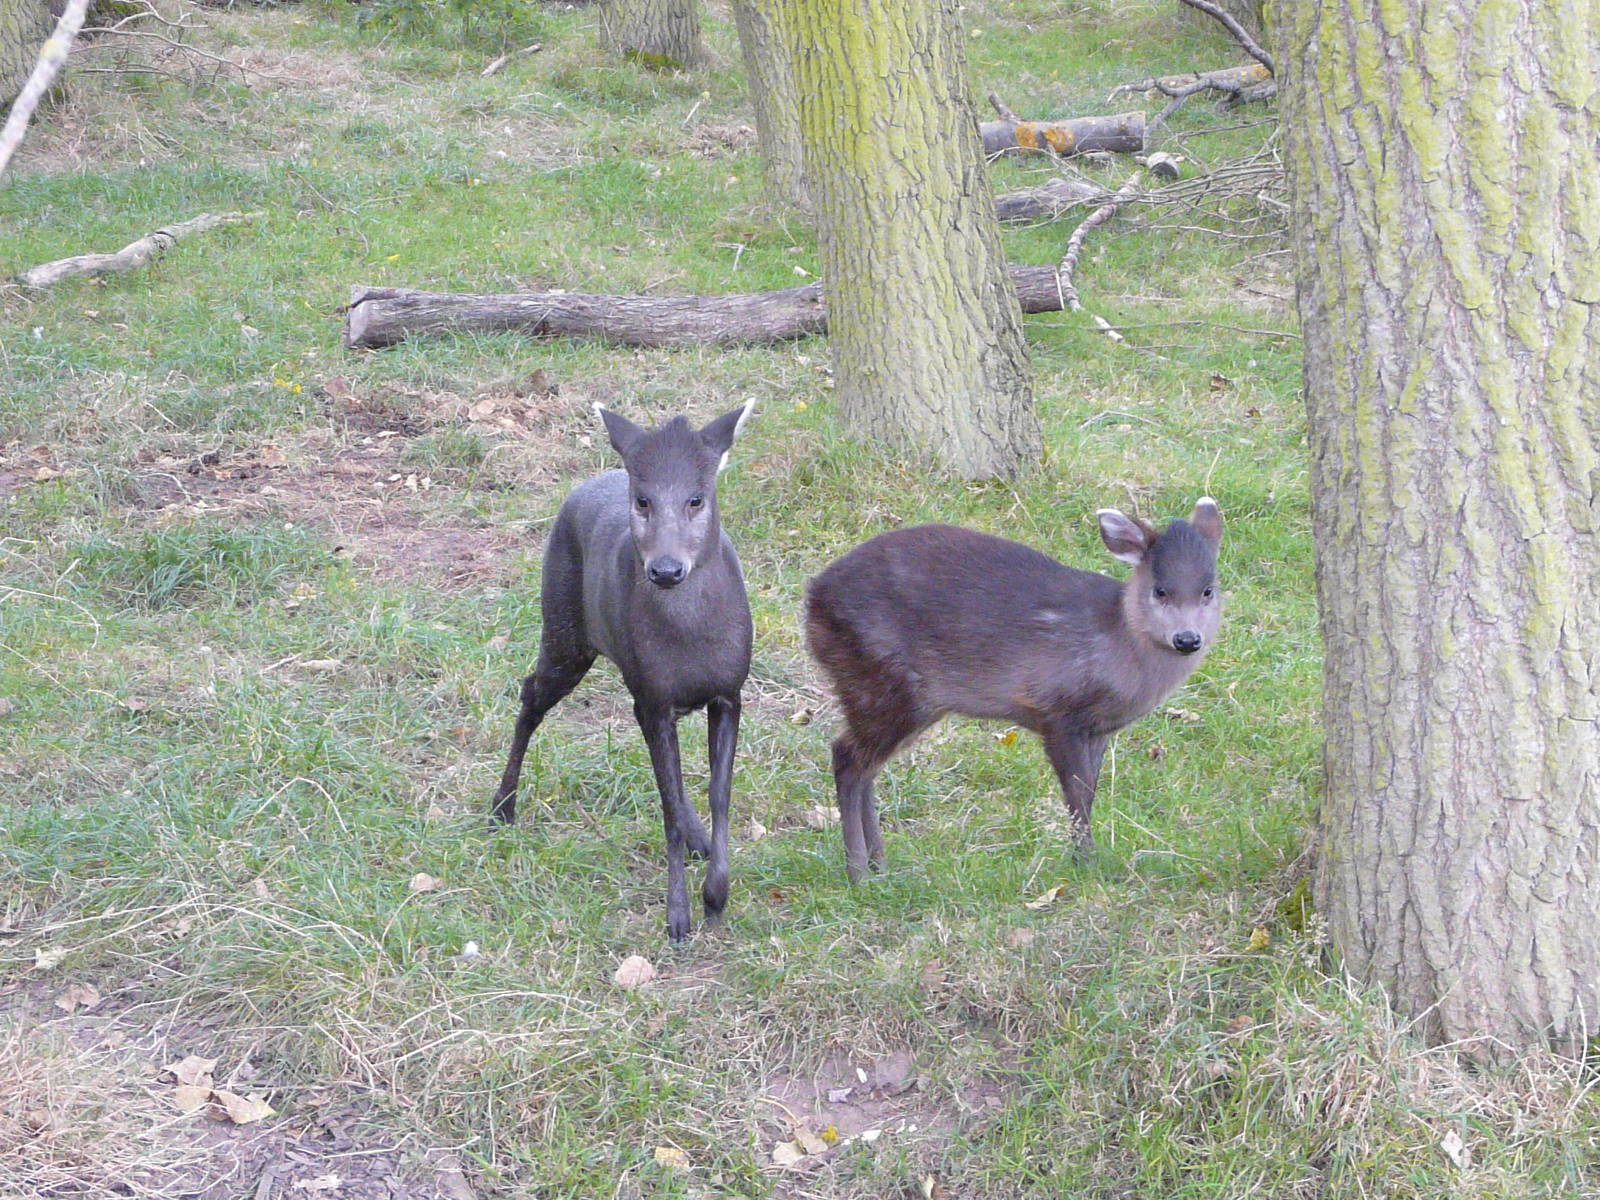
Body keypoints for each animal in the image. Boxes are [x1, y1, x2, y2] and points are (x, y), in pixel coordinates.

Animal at [490, 404, 754, 941]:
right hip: (565, 628)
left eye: (697, 497)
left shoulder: (728, 691)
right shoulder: (654, 695)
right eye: (643, 499)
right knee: (530, 694)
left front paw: (716, 895)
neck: (691, 642)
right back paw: (502, 806)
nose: (666, 569)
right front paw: (678, 917)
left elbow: (719, 796)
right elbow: (669, 806)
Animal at [804, 500, 1223, 881]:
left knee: (865, 768)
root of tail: (811, 599)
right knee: (846, 757)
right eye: (1160, 590)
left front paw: (1085, 859)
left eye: (1208, 590)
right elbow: (1075, 795)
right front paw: (1085, 863)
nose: (1187, 639)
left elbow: (1089, 790)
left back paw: (880, 865)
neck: (1119, 646)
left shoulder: (1100, 728)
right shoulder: (1057, 711)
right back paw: (859, 871)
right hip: (881, 681)